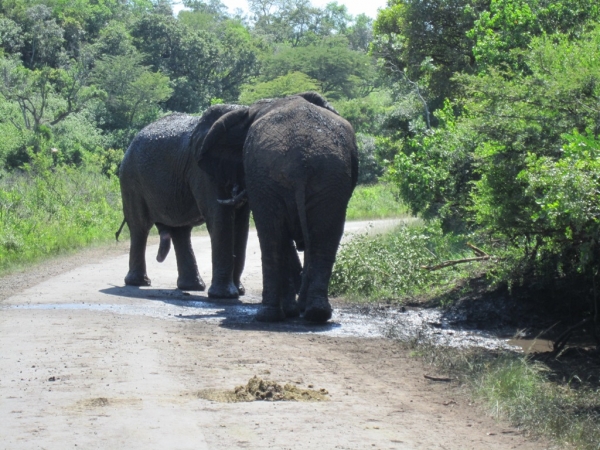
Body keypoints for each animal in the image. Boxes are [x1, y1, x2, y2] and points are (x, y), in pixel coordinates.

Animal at [118, 103, 250, 298]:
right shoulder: (202, 170)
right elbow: (220, 217)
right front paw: (225, 296)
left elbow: (241, 223)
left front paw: (238, 292)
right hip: (131, 180)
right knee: (140, 227)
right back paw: (138, 283)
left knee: (180, 231)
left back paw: (192, 287)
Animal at [198, 93, 356, 322]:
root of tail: (300, 160)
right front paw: (295, 309)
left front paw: (292, 309)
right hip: (329, 177)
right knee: (323, 237)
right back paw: (314, 313)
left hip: (270, 177)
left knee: (272, 235)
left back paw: (271, 314)